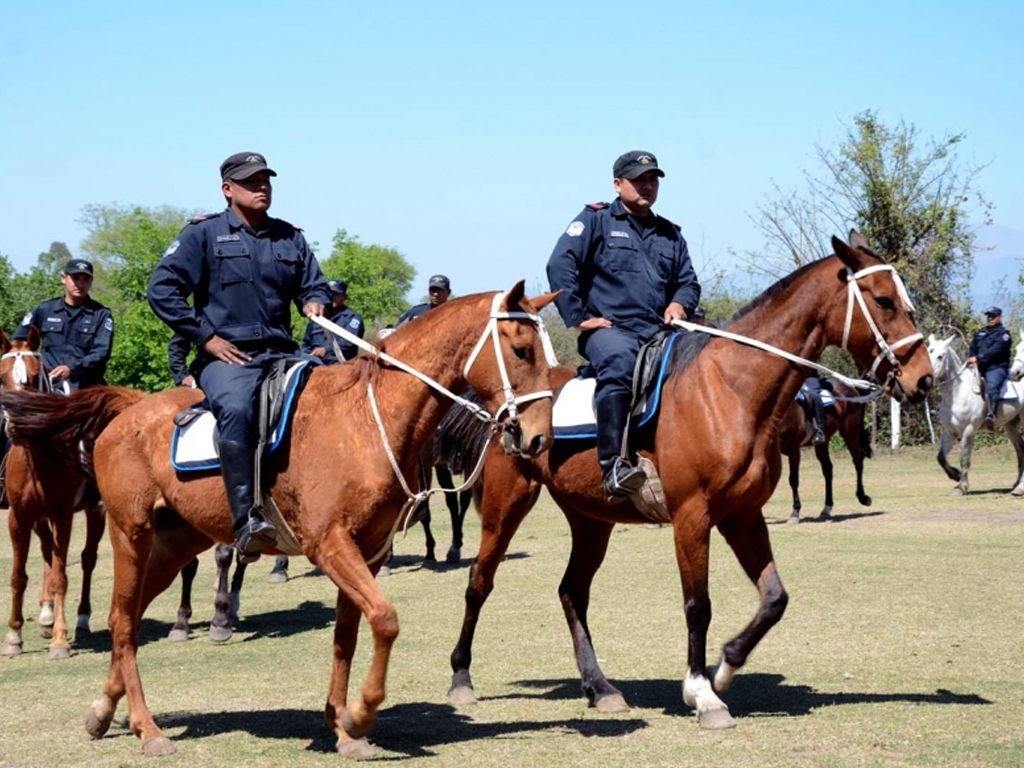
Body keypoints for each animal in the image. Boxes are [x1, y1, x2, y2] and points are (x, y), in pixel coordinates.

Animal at [1, 282, 556, 759]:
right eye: (521, 350)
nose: (537, 438)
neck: (366, 417)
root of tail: (129, 409)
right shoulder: (329, 546)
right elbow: (385, 619)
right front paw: (359, 714)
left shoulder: (368, 553)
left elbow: (348, 636)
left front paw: (342, 727)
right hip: (129, 535)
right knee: (119, 622)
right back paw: (147, 728)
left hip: (172, 545)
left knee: (130, 619)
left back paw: (102, 710)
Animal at [779, 378, 874, 523]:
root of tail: (851, 387)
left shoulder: (793, 449)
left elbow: (793, 479)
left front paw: (795, 512)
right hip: (823, 442)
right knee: (828, 470)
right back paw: (827, 508)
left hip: (850, 433)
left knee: (858, 460)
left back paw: (863, 497)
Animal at [927, 333, 1024, 496]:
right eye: (928, 352)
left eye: (940, 356)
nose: (926, 378)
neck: (957, 393)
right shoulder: (950, 431)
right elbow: (940, 457)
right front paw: (955, 475)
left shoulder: (969, 430)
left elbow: (964, 459)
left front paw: (962, 487)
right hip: (1011, 426)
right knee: (1020, 451)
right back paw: (1017, 485)